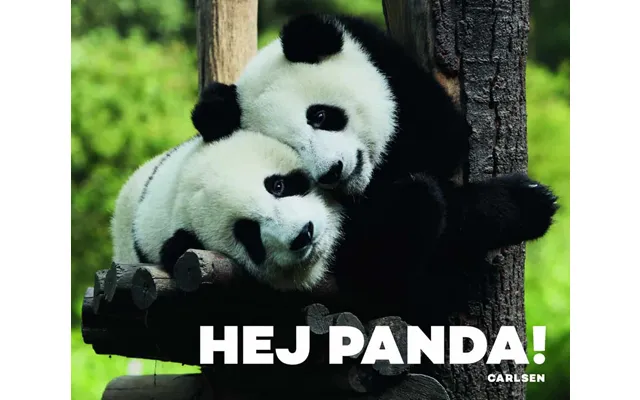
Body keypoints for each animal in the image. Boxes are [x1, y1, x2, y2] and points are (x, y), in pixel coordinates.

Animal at [189, 14, 559, 321]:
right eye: (292, 150)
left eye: (319, 115)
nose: (332, 171)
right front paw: (524, 204)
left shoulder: (395, 73)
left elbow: (444, 139)